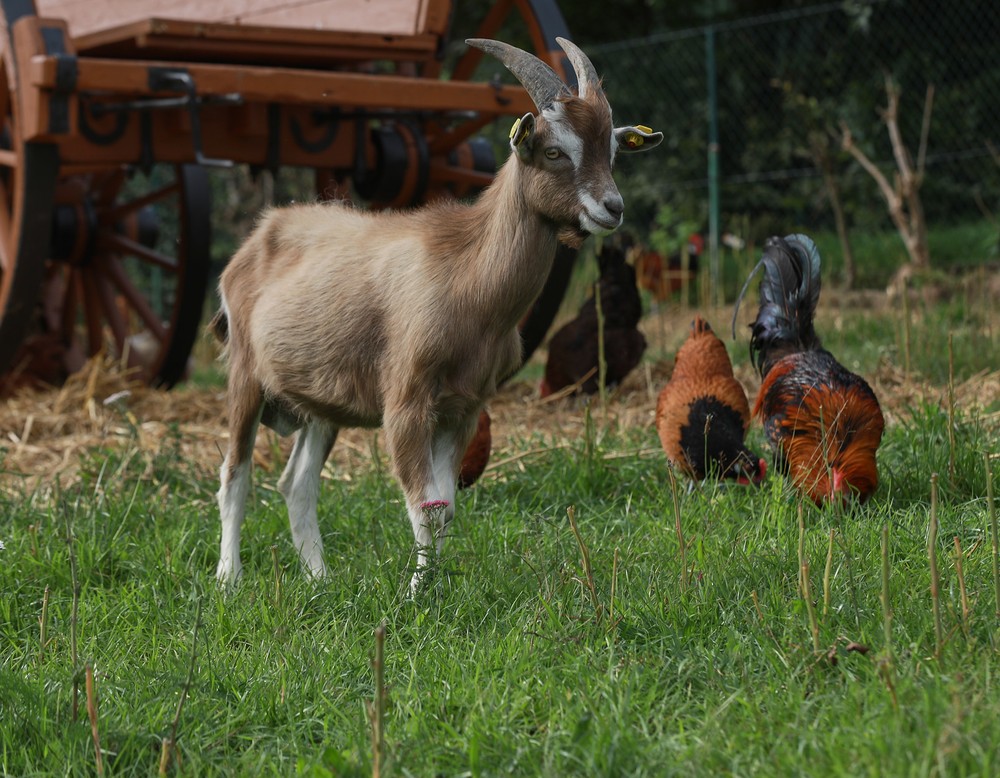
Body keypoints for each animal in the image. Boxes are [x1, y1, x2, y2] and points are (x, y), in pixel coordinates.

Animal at [212, 33, 664, 584]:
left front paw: (436, 586)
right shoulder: (406, 403)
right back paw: (229, 579)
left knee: (296, 483)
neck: (468, 275)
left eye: (614, 150)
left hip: (322, 400)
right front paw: (417, 592)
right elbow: (424, 504)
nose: (612, 209)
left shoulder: (464, 408)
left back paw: (321, 580)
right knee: (234, 473)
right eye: (555, 150)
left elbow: (447, 505)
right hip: (245, 377)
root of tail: (258, 237)